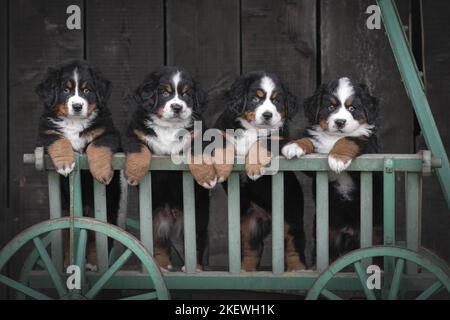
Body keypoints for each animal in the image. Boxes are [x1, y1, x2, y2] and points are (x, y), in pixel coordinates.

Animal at [35, 60, 121, 270]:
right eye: (65, 90)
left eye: (87, 90)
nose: (76, 106)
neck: (74, 123)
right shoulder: (45, 133)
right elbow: (60, 140)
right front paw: (66, 164)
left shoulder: (108, 132)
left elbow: (97, 147)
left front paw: (102, 173)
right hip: (66, 211)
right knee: (68, 236)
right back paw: (68, 262)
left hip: (107, 207)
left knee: (98, 237)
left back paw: (93, 263)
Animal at [122, 66, 215, 272]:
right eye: (164, 93)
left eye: (186, 94)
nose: (177, 107)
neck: (168, 127)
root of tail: (172, 214)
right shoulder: (134, 133)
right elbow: (139, 150)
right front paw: (133, 174)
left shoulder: (198, 134)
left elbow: (197, 151)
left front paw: (206, 177)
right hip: (153, 217)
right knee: (158, 243)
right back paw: (162, 265)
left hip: (197, 217)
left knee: (197, 242)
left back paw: (196, 268)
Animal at [214, 71, 306, 272]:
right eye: (256, 98)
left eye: (277, 100)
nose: (267, 115)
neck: (252, 129)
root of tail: (267, 215)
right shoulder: (222, 128)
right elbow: (221, 142)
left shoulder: (279, 137)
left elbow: (263, 142)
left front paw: (254, 167)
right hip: (249, 223)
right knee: (252, 248)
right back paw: (245, 270)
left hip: (290, 216)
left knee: (294, 244)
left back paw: (297, 268)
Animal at [284, 77, 382, 260]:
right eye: (330, 107)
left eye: (352, 108)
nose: (340, 122)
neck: (333, 138)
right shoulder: (312, 168)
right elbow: (310, 139)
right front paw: (294, 146)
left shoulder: (370, 149)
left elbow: (350, 138)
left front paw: (337, 159)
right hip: (326, 235)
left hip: (373, 234)